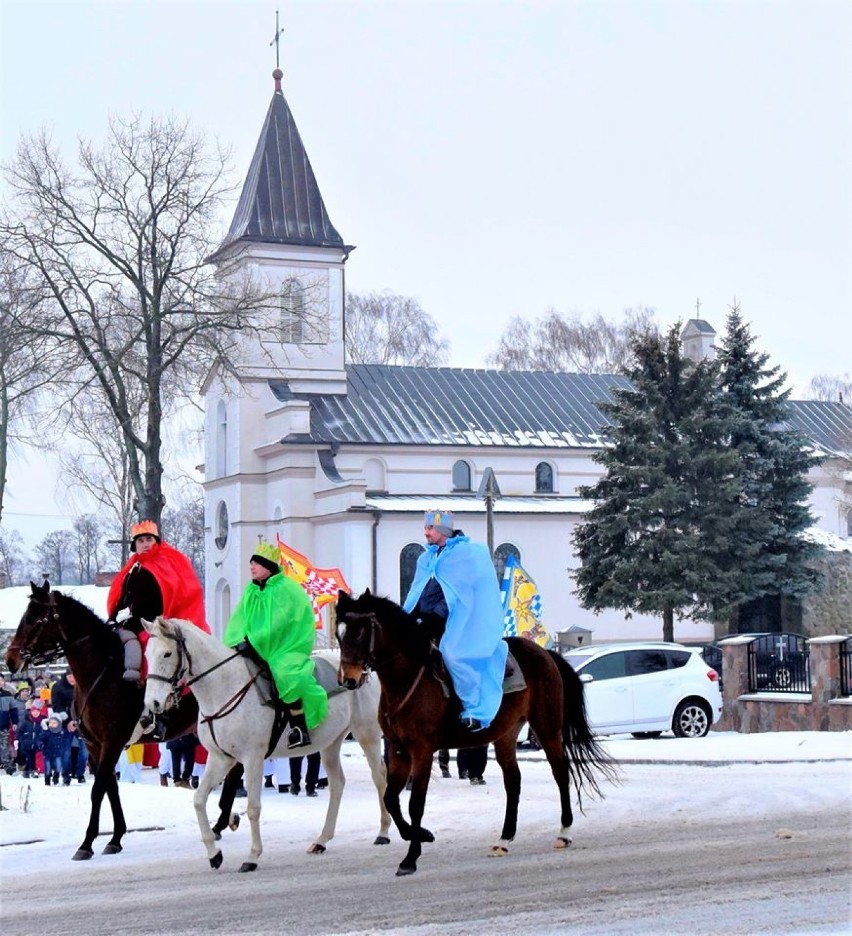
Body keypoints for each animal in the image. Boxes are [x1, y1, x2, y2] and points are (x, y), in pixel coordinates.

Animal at [5, 584, 243, 864]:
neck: (102, 674)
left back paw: (221, 821)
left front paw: (87, 843)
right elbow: (111, 788)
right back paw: (222, 821)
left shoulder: (112, 741)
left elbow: (98, 789)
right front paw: (116, 837)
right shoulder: (95, 745)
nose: (10, 659)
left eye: (36, 619)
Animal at [142, 616, 390, 872]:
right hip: (331, 742)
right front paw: (214, 853)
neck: (225, 688)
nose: (153, 703)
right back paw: (322, 840)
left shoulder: (252, 758)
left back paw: (383, 832)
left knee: (379, 777)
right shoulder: (221, 758)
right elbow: (199, 800)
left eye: (167, 654)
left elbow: (253, 808)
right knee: (337, 784)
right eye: (148, 654)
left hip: (367, 733)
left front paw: (252, 856)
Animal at [334, 592, 620, 876]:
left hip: (547, 728)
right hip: (506, 734)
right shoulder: (398, 750)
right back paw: (504, 839)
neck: (408, 680)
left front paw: (411, 856)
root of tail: (545, 653)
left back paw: (564, 832)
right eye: (339, 634)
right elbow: (391, 799)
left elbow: (415, 804)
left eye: (359, 632)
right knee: (513, 781)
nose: (348, 679)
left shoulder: (422, 752)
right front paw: (421, 835)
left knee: (560, 773)